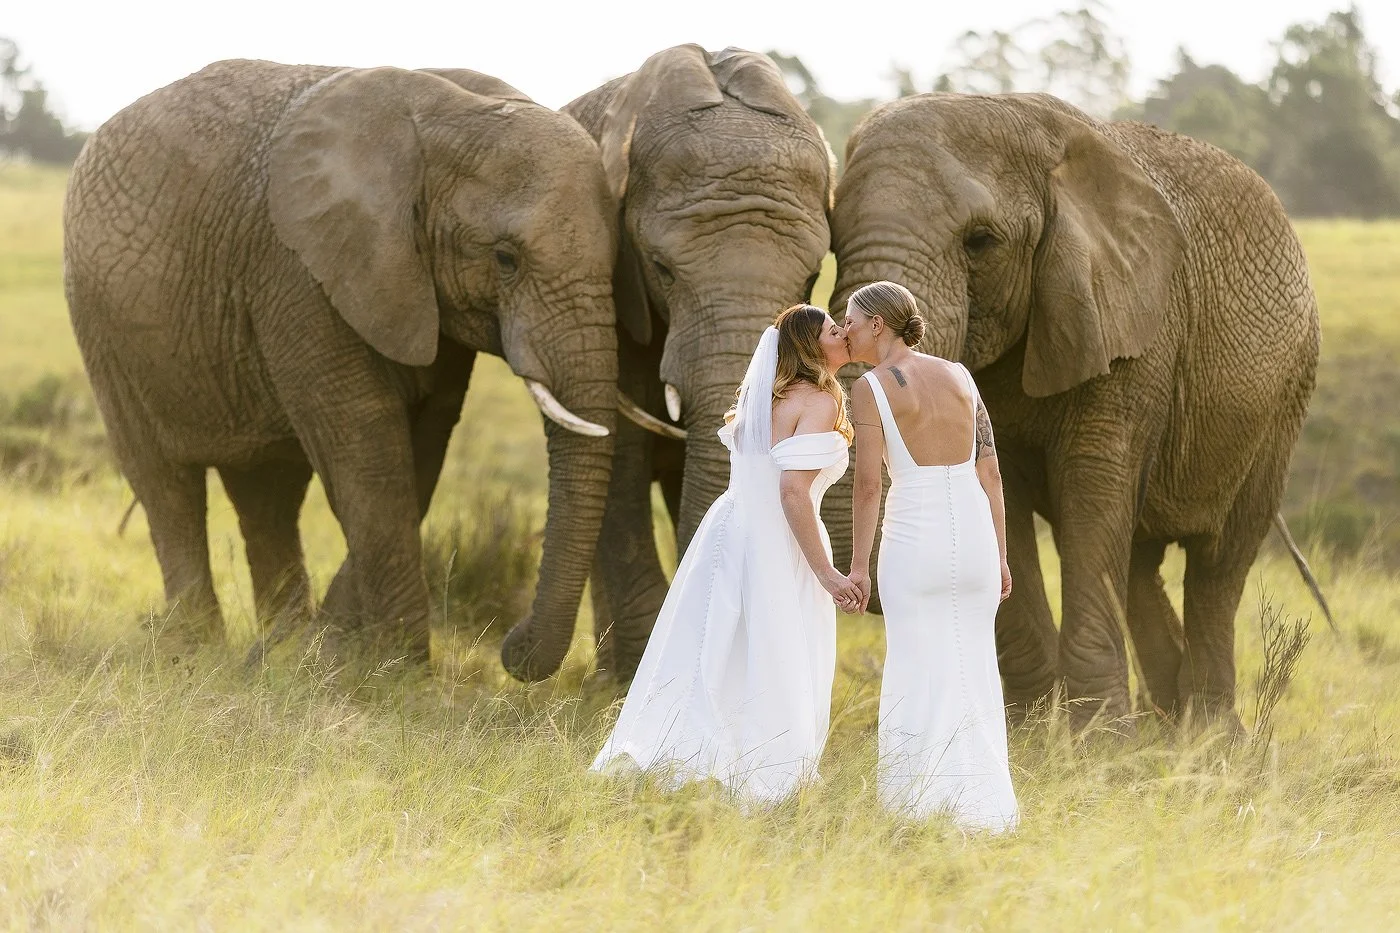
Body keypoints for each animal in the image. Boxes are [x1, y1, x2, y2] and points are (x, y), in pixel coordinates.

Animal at [64, 59, 621, 676]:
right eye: (506, 259)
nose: (512, 647)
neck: (445, 120)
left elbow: (422, 449)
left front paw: (328, 653)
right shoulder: (298, 274)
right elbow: (368, 445)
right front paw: (399, 671)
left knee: (267, 493)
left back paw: (275, 644)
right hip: (103, 328)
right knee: (166, 483)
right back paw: (195, 649)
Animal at [827, 92, 1321, 728]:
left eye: (980, 242)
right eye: (833, 235)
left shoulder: (1135, 327)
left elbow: (1091, 485)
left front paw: (1097, 738)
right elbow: (1002, 491)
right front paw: (1034, 732)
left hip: (1284, 398)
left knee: (1218, 563)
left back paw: (1209, 734)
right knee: (1139, 564)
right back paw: (1169, 725)